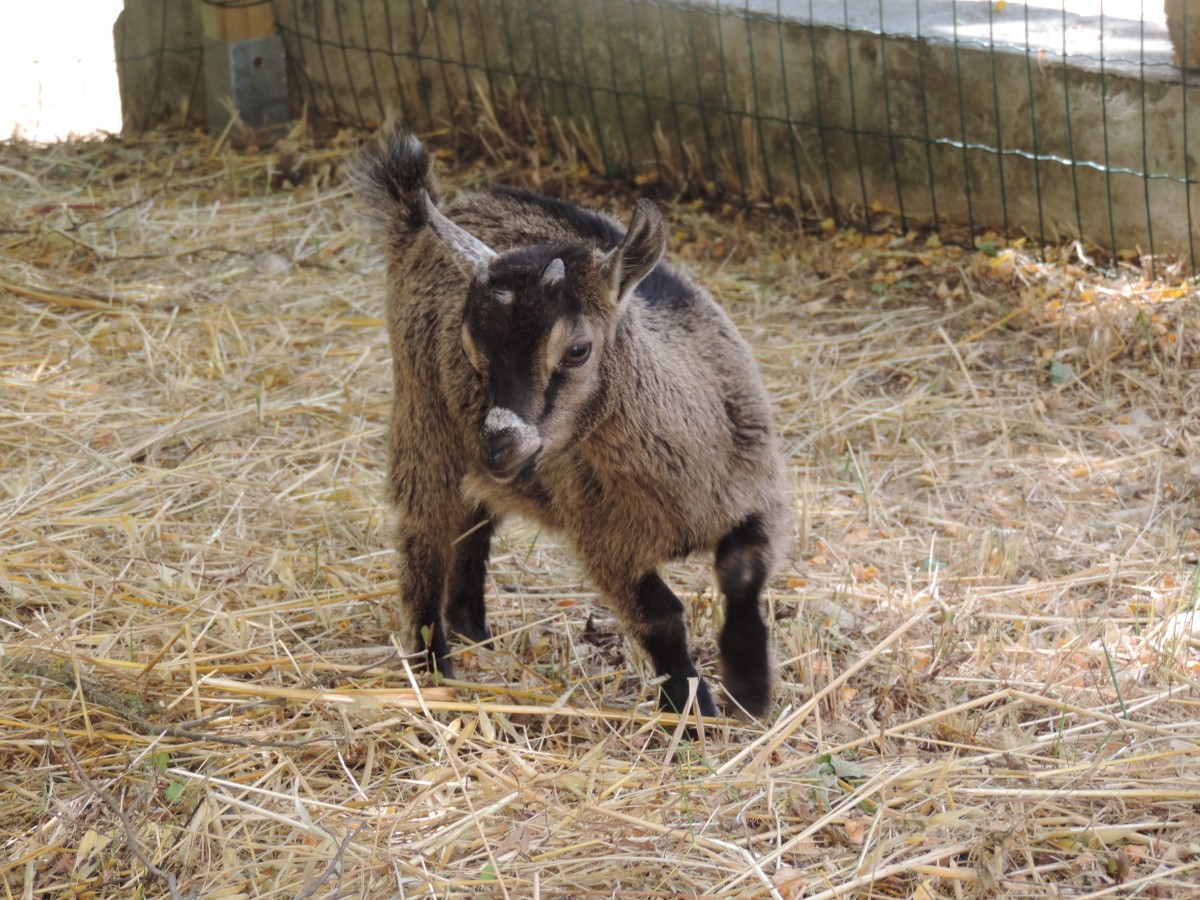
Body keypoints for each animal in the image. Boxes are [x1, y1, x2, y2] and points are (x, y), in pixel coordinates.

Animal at [352, 128, 787, 720]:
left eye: (578, 350)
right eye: (471, 351)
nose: (500, 443)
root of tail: (417, 216)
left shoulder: (755, 492)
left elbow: (743, 575)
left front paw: (750, 687)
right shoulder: (602, 539)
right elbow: (660, 615)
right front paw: (692, 709)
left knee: (473, 521)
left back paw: (475, 632)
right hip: (425, 422)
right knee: (425, 531)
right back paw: (435, 668)